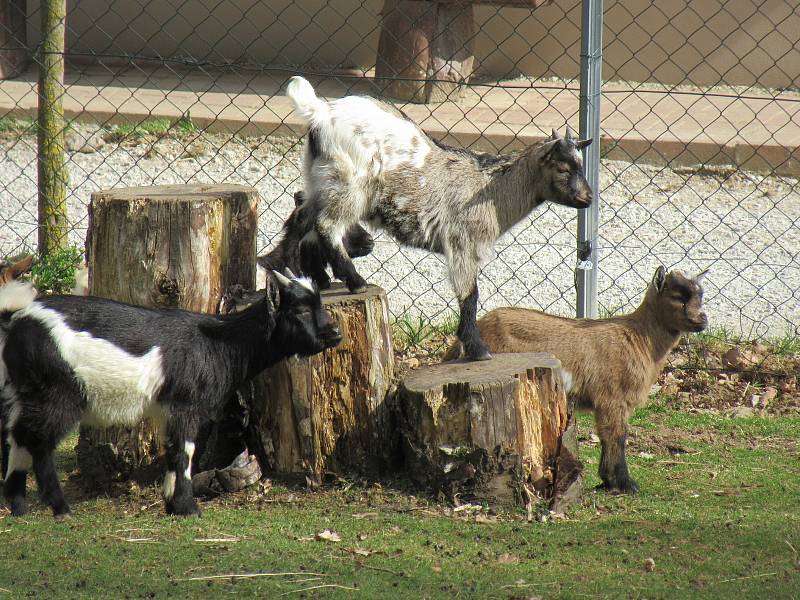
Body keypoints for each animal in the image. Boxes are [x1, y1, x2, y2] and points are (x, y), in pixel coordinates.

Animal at [0, 270, 340, 516]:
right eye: (300, 310)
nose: (335, 333)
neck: (220, 344)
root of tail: (19, 322)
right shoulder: (186, 405)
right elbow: (184, 452)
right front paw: (188, 508)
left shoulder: (168, 409)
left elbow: (173, 450)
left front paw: (172, 504)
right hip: (58, 393)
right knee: (39, 441)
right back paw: (60, 507)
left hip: (24, 393)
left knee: (17, 435)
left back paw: (18, 504)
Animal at [284, 78, 592, 360]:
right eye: (564, 169)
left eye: (581, 165)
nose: (588, 198)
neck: (489, 188)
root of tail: (320, 112)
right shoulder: (463, 243)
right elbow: (470, 296)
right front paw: (478, 350)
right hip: (349, 185)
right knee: (327, 225)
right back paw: (355, 280)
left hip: (319, 181)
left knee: (301, 218)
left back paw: (302, 274)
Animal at [440, 268, 708, 492]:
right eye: (678, 296)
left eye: (700, 295)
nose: (702, 319)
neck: (639, 338)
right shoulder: (612, 398)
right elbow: (616, 436)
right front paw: (624, 484)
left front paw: (608, 481)